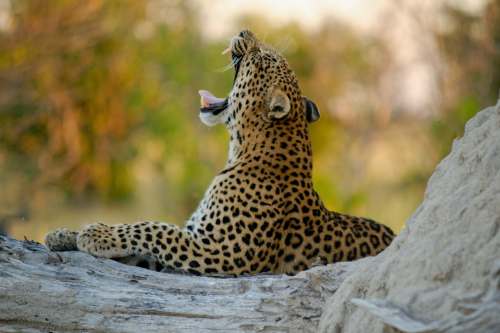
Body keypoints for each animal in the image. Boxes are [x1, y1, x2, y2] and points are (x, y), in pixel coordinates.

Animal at [45, 30, 396, 274]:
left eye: (264, 58)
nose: (244, 31)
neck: (242, 149)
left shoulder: (224, 253)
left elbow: (156, 228)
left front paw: (95, 233)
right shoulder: (192, 239)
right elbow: (145, 242)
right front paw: (65, 234)